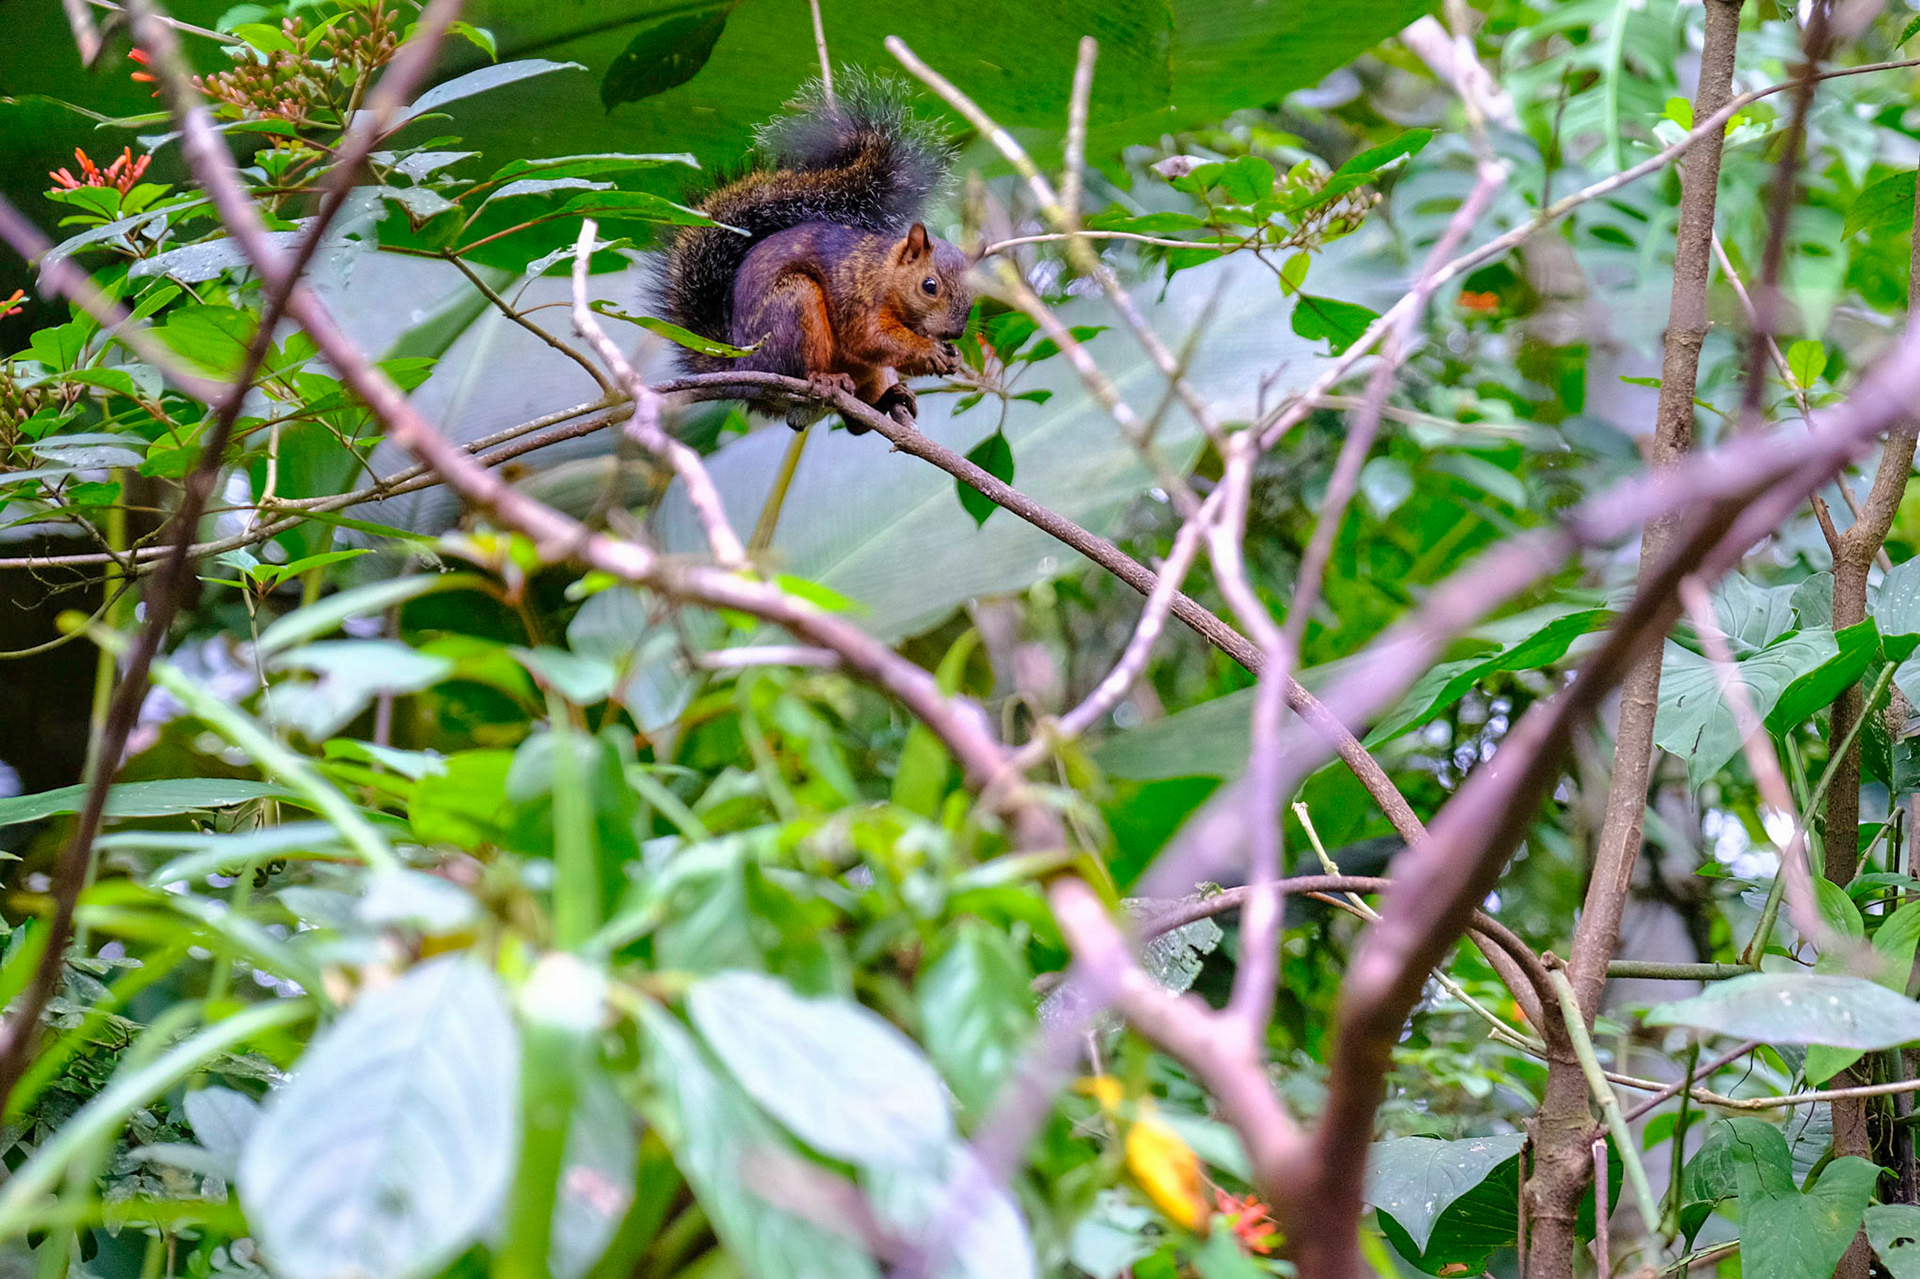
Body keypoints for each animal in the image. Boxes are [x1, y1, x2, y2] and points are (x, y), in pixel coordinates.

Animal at [656, 72, 973, 435]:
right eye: (929, 286)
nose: (954, 333)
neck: (887, 276)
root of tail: (744, 372)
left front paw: (953, 355)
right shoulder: (857, 297)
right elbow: (871, 339)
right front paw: (929, 351)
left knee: (856, 424)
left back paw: (889, 399)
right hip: (794, 307)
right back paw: (824, 379)